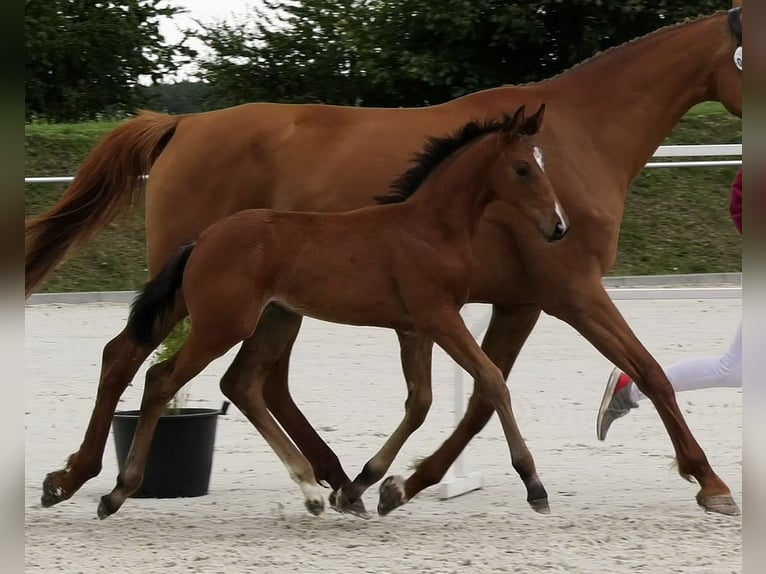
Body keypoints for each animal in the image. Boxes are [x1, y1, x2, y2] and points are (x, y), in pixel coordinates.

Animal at [94, 105, 567, 518]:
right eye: (523, 168)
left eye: (543, 163)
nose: (558, 227)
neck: (429, 229)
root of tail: (201, 240)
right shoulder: (439, 316)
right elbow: (492, 379)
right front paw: (534, 485)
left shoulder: (414, 329)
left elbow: (420, 403)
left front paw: (367, 486)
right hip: (222, 326)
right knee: (161, 379)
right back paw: (117, 493)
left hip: (274, 318)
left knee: (240, 384)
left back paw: (311, 489)